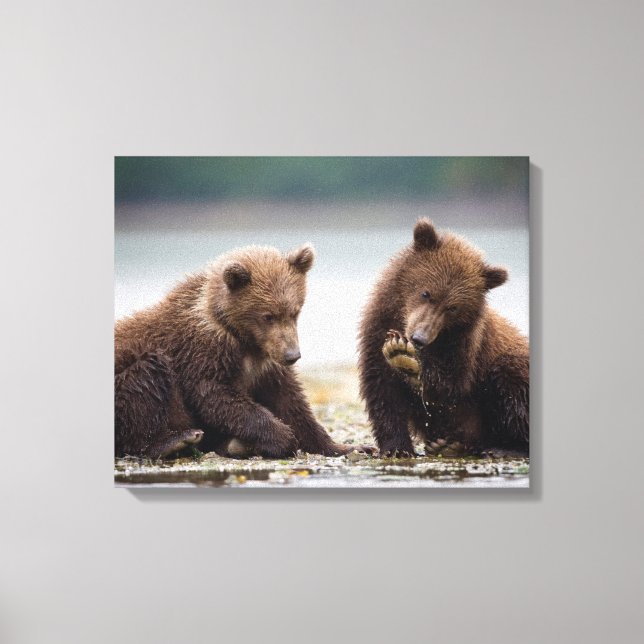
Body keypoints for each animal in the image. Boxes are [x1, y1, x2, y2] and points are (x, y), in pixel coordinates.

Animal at [115, 243, 353, 459]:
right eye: (268, 316)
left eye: (295, 312)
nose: (292, 355)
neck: (244, 340)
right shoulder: (204, 351)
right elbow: (216, 394)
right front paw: (284, 437)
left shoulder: (267, 362)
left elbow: (290, 400)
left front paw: (341, 446)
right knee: (146, 377)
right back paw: (174, 441)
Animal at [358, 219, 529, 457]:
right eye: (426, 293)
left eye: (453, 308)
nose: (419, 338)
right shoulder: (377, 328)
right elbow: (382, 390)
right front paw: (397, 448)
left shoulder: (465, 345)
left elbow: (449, 388)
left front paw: (406, 359)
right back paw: (447, 445)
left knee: (511, 383)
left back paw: (502, 447)